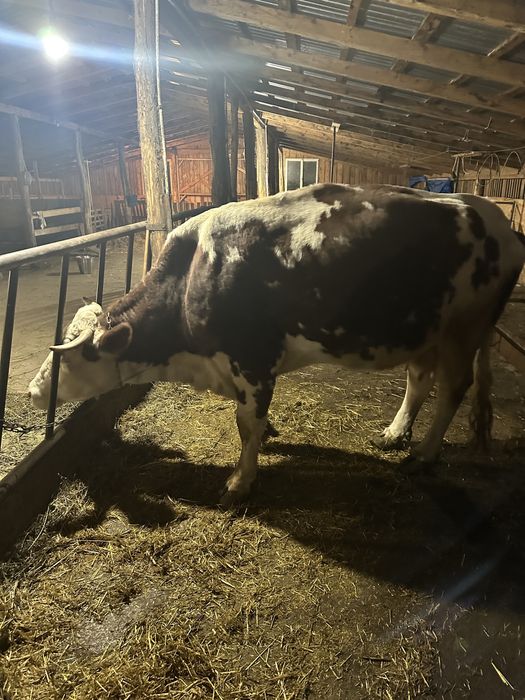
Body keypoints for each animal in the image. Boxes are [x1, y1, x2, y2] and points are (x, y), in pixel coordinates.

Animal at [29, 184, 524, 505]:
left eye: (77, 353)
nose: (34, 391)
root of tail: (496, 218)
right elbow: (253, 421)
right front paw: (265, 440)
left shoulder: (253, 359)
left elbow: (246, 423)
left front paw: (239, 482)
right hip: (428, 327)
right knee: (420, 380)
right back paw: (394, 435)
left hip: (464, 328)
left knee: (453, 388)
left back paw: (422, 455)